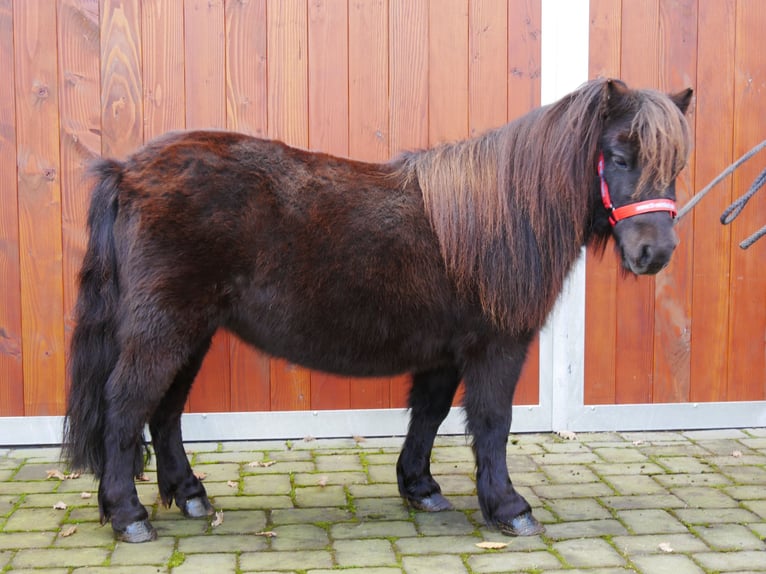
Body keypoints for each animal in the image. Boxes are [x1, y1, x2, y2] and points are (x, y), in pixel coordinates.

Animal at [63, 80, 692, 544]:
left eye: (676, 165)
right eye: (619, 156)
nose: (655, 253)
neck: (498, 216)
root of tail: (127, 171)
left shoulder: (444, 351)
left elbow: (429, 414)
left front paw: (420, 487)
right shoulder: (497, 346)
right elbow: (492, 422)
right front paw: (509, 507)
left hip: (191, 331)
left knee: (165, 410)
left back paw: (190, 495)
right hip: (164, 328)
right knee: (127, 405)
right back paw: (128, 515)